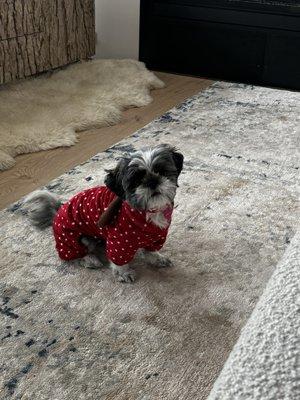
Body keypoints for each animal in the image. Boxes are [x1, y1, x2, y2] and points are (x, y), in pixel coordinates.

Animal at [23, 144, 183, 282]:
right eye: (136, 180)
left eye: (162, 171)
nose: (152, 181)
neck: (145, 211)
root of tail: (58, 211)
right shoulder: (118, 242)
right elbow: (119, 260)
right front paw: (123, 273)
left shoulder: (156, 237)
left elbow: (150, 250)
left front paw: (156, 258)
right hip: (72, 239)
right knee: (72, 256)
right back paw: (89, 259)